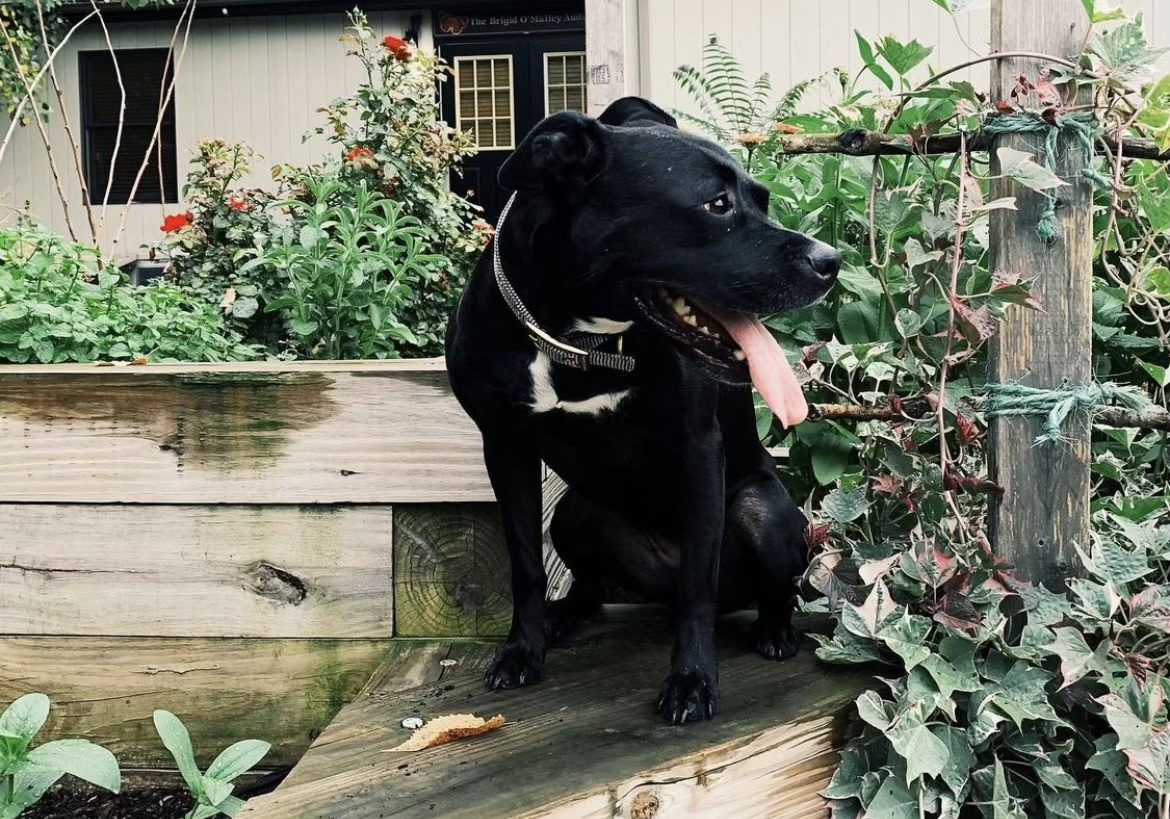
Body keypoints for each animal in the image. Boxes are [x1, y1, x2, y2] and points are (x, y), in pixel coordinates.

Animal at [446, 97, 842, 720]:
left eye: (763, 199)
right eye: (717, 204)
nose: (833, 260)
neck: (577, 338)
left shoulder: (697, 448)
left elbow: (699, 583)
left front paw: (692, 680)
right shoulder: (503, 447)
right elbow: (525, 565)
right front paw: (521, 651)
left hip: (766, 513)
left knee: (764, 588)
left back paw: (775, 631)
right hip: (575, 514)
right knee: (589, 582)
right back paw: (565, 615)